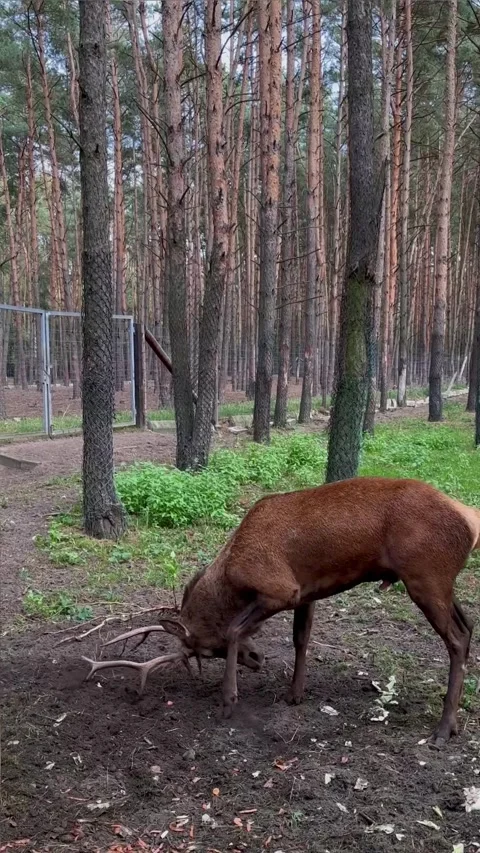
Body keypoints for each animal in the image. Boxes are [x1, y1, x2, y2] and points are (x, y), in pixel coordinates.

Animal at [82, 476, 480, 747]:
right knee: (469, 624)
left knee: (457, 639)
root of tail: (470, 521)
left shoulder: (281, 589)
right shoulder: (308, 592)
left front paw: (229, 700)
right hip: (441, 583)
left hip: (425, 576)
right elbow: (300, 638)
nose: (256, 659)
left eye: (206, 651)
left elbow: (235, 628)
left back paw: (443, 727)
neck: (233, 574)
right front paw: (295, 694)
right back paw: (454, 720)